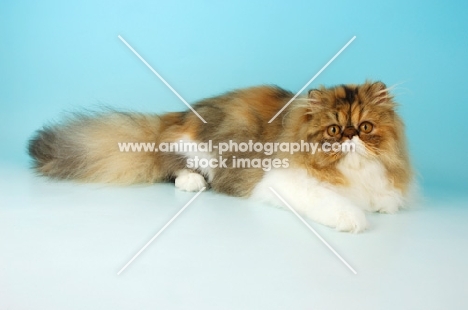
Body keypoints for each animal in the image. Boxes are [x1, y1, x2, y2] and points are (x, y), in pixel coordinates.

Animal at [28, 81, 414, 231]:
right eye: (334, 130)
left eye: (364, 127)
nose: (350, 137)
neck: (352, 172)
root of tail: (174, 118)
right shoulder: (284, 182)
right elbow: (333, 202)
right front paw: (354, 218)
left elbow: (387, 200)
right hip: (193, 150)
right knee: (172, 167)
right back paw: (192, 182)